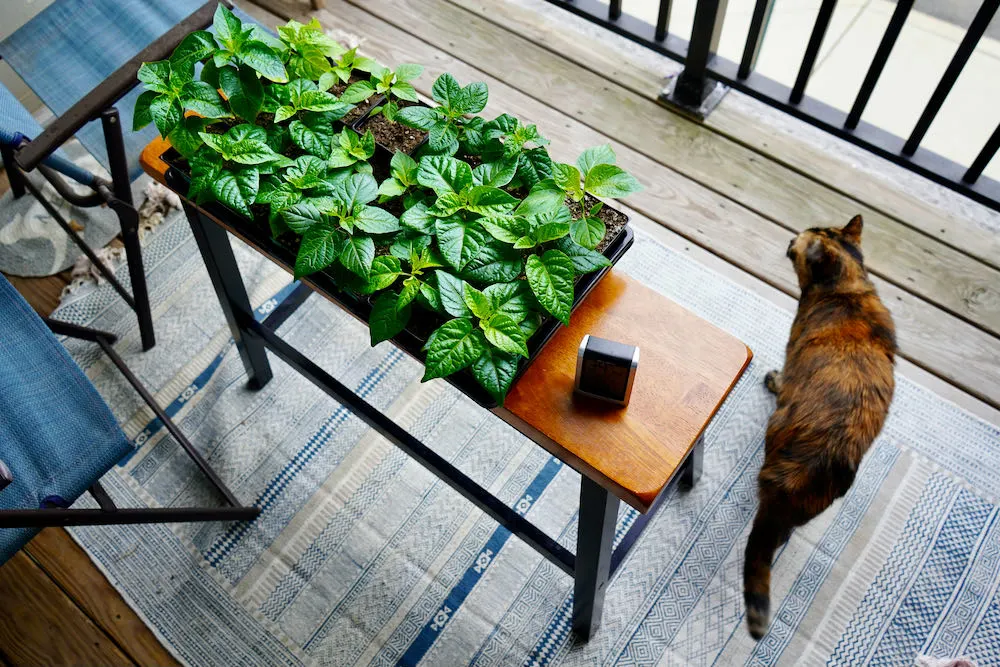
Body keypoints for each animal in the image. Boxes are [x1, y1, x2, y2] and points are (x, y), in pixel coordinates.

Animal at [744, 217, 900, 640]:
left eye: (801, 241)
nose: (792, 235)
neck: (847, 289)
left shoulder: (793, 348)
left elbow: (783, 376)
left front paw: (774, 380)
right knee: (782, 532)